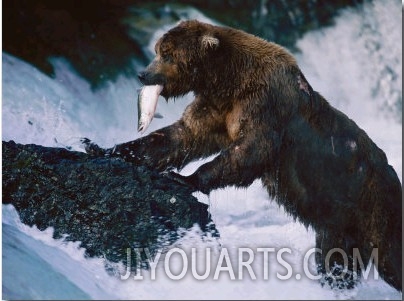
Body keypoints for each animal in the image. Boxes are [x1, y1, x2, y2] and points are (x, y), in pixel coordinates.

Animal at [83, 19, 402, 290]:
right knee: (336, 261)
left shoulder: (264, 104)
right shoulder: (217, 107)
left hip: (375, 208)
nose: (143, 73)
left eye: (168, 55)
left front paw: (184, 179)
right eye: (159, 51)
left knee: (390, 258)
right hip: (340, 226)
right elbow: (181, 136)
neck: (226, 80)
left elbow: (250, 151)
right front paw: (103, 147)